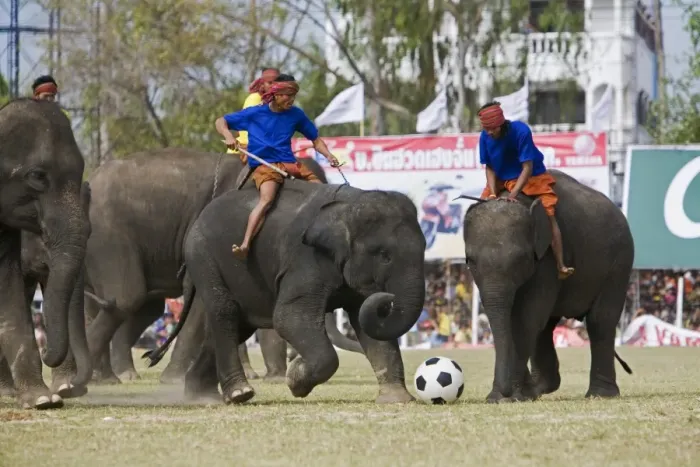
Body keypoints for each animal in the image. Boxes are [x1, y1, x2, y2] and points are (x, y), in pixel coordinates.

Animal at [146, 181, 426, 405]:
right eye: (385, 256)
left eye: (424, 248)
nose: (387, 298)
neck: (350, 203)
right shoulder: (305, 259)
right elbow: (288, 317)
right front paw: (294, 380)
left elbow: (368, 326)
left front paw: (397, 400)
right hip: (203, 255)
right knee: (225, 313)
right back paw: (239, 393)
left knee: (239, 325)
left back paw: (201, 396)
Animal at [461, 169, 634, 403]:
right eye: (470, 261)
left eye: (522, 259)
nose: (500, 394)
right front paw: (509, 396)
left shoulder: (547, 259)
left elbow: (526, 318)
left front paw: (511, 397)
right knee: (546, 327)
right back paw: (538, 389)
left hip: (619, 263)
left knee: (600, 321)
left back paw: (600, 395)